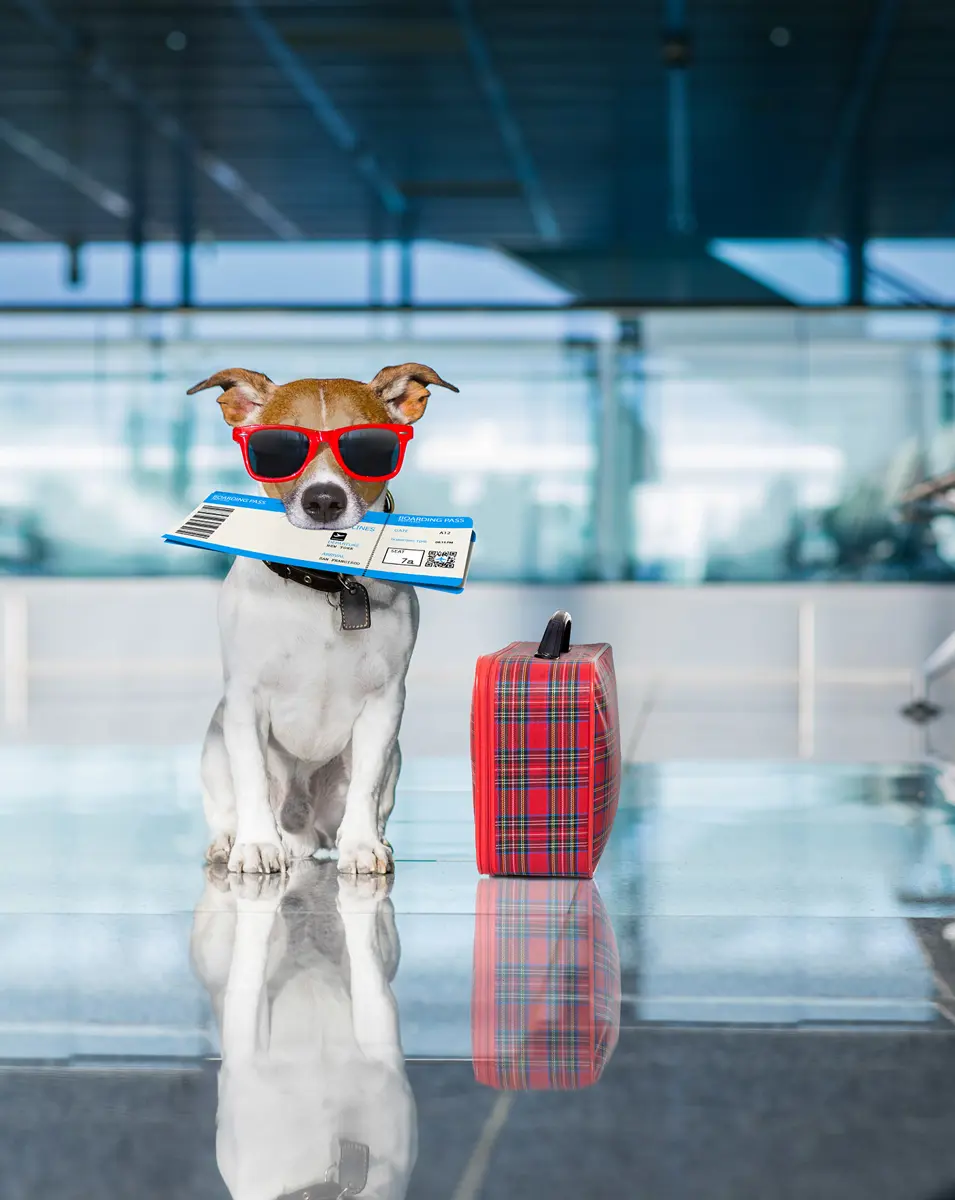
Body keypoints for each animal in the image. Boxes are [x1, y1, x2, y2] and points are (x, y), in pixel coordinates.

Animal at [190, 360, 458, 878]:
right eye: (278, 447)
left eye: (369, 446)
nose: (324, 500)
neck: (322, 579)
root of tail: (303, 829)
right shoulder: (245, 700)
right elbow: (251, 776)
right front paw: (256, 844)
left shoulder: (384, 705)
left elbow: (366, 787)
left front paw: (362, 845)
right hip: (213, 739)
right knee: (229, 802)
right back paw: (232, 839)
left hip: (393, 758)